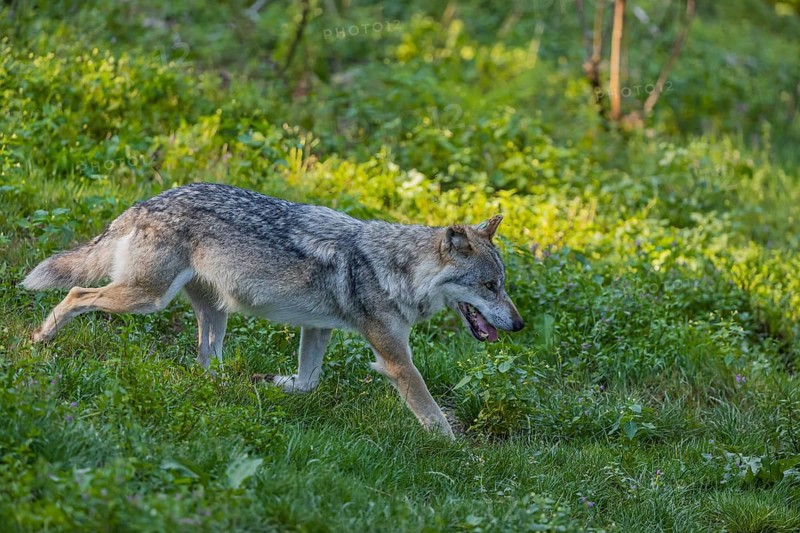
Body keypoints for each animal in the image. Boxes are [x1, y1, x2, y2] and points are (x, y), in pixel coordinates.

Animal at [23, 183, 524, 438]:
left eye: (502, 286)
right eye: (489, 286)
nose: (519, 324)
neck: (394, 267)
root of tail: (142, 203)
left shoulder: (318, 330)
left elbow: (307, 382)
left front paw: (276, 384)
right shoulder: (396, 360)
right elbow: (434, 416)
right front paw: (458, 455)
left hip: (211, 313)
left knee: (205, 361)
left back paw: (229, 389)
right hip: (147, 299)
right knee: (76, 295)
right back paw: (39, 340)